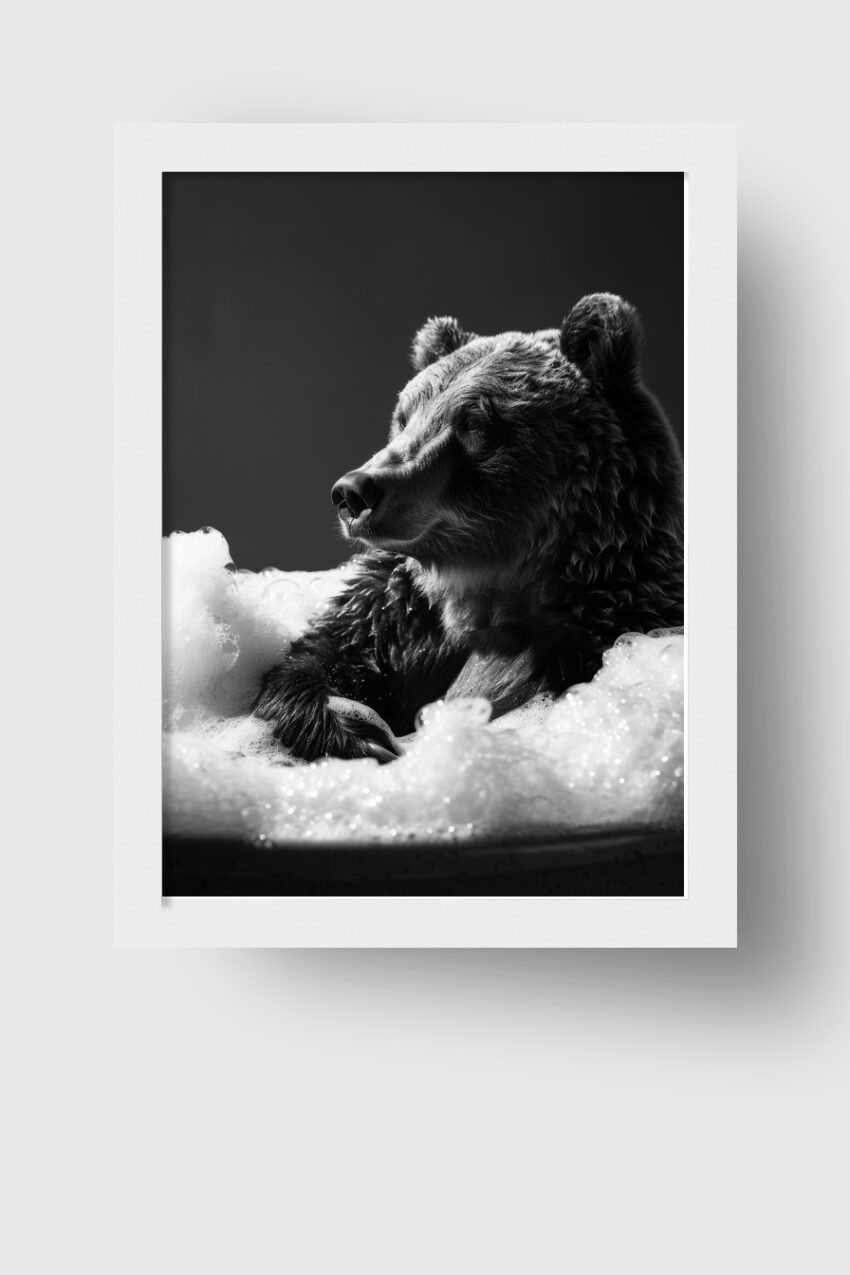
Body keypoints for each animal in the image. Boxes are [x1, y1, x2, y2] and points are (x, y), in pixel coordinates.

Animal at [254, 293, 683, 762]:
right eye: (405, 416)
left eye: (474, 421)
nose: (354, 492)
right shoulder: (397, 618)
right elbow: (322, 657)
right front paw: (352, 725)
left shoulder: (599, 626)